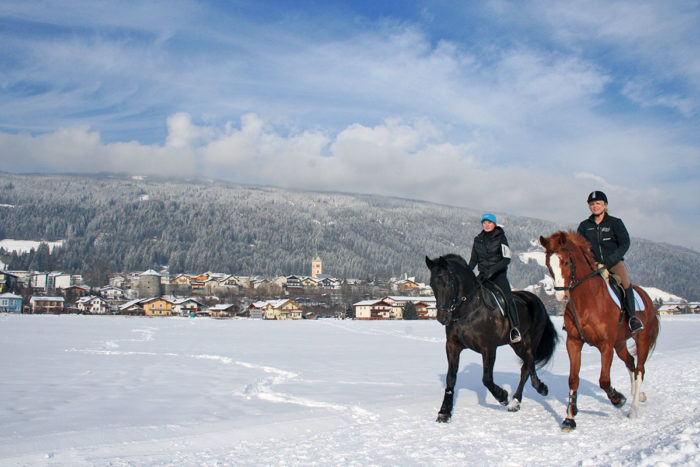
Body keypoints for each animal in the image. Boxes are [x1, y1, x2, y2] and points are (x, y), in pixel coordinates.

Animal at [426, 256, 556, 424]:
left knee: (527, 366)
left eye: (448, 283)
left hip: (530, 341)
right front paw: (444, 412)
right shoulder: (453, 346)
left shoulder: (488, 348)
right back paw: (524, 397)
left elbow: (487, 379)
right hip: (517, 344)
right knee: (528, 364)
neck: (468, 310)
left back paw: (524, 396)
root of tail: (536, 299)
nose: (442, 318)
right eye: (432, 284)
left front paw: (502, 396)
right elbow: (451, 378)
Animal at [540, 232, 660, 434]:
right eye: (549, 264)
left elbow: (604, 380)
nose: (561, 296)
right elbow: (573, 379)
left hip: (641, 340)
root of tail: (648, 299)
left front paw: (618, 399)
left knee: (639, 370)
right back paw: (638, 394)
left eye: (566, 262)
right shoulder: (574, 342)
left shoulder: (606, 346)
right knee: (631, 362)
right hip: (620, 344)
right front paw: (570, 417)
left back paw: (633, 408)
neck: (587, 300)